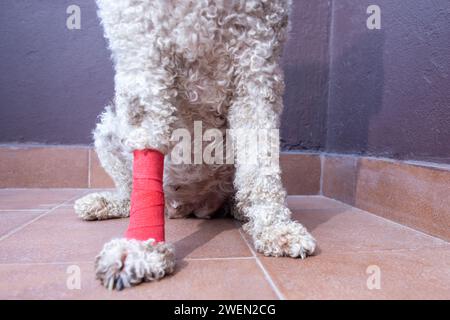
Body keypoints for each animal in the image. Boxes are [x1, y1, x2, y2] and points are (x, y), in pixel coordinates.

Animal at [74, 0, 316, 290]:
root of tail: (191, 205)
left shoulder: (257, 57)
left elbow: (260, 157)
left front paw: (274, 226)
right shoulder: (141, 39)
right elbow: (147, 138)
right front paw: (141, 246)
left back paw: (244, 210)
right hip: (108, 128)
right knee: (129, 187)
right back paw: (106, 203)